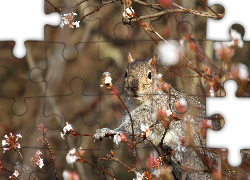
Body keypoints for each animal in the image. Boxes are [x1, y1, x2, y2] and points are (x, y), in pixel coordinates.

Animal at [93, 52, 227, 179]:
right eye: (126, 74)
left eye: (149, 75)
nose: (134, 87)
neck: (138, 103)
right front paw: (102, 132)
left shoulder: (150, 116)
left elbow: (128, 129)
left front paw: (107, 131)